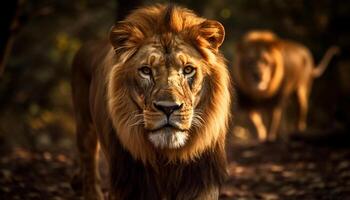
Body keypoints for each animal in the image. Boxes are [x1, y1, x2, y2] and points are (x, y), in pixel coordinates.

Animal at [69, 3, 231, 199]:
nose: (168, 108)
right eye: (146, 70)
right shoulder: (131, 185)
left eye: (188, 70)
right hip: (84, 128)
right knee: (89, 170)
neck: (167, 156)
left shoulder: (200, 182)